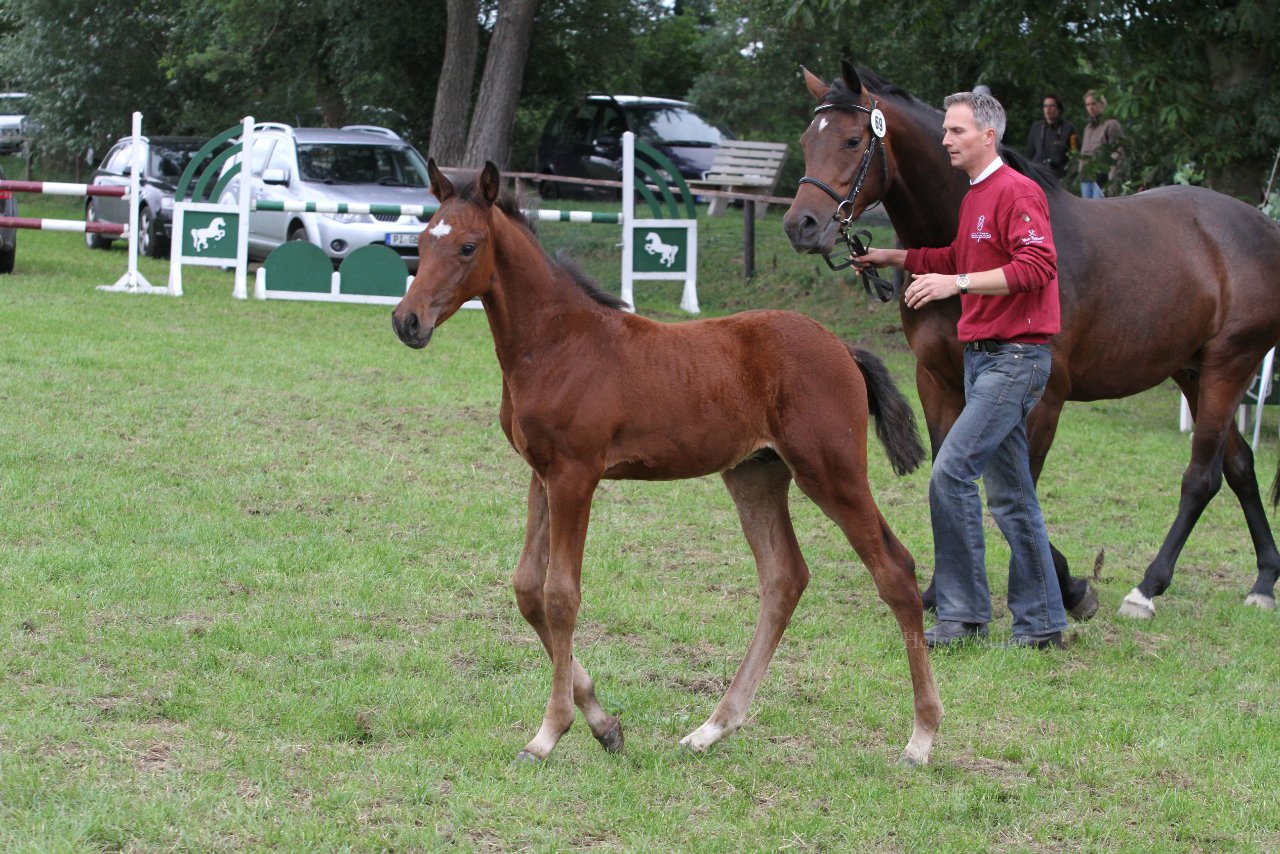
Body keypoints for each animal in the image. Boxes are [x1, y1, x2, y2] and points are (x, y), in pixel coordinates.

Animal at [394, 160, 947, 768]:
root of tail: (843, 348)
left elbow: (561, 596)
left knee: (894, 571)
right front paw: (604, 724)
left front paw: (549, 732)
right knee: (784, 578)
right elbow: (527, 590)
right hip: (755, 475)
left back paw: (921, 737)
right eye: (423, 241)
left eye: (468, 247)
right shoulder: (541, 474)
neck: (557, 343)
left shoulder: (575, 476)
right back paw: (713, 727)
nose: (407, 321)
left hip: (832, 473)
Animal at [783, 61, 1280, 622]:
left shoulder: (1041, 399)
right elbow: (948, 478)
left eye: (851, 140)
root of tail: (1264, 227)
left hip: (1228, 367)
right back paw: (1264, 580)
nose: (801, 225)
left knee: (1203, 477)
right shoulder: (937, 381)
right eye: (807, 140)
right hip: (1193, 372)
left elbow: (1021, 494)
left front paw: (1067, 587)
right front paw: (939, 592)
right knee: (1239, 466)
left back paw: (1147, 589)